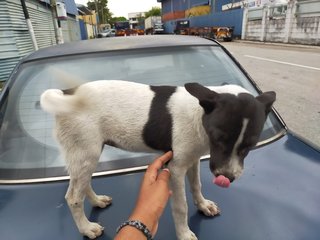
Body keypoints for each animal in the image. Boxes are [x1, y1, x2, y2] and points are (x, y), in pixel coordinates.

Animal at [40, 81, 276, 240]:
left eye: (249, 146)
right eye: (219, 138)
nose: (226, 178)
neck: (199, 114)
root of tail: (65, 93)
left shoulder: (193, 160)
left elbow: (196, 186)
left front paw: (203, 205)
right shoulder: (177, 168)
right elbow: (181, 206)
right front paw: (184, 233)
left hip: (88, 153)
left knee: (83, 182)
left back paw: (97, 201)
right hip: (85, 152)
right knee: (73, 197)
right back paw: (87, 228)